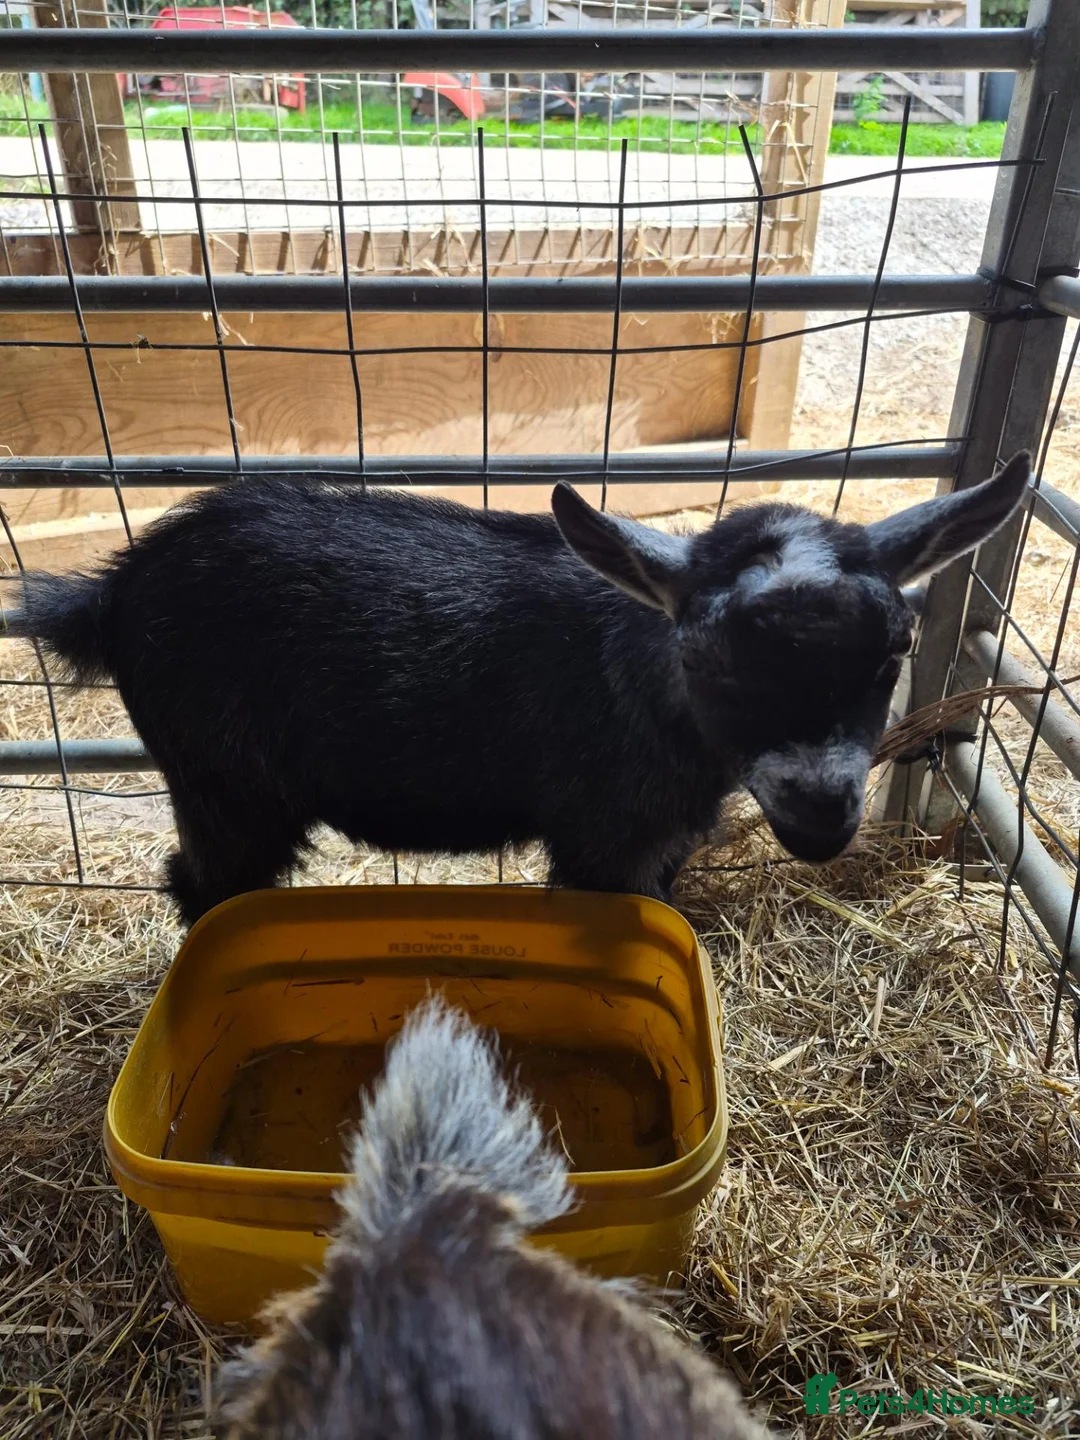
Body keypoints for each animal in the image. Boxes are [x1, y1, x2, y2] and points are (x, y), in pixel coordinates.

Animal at [2, 454, 1030, 923]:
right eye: (711, 660)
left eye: (896, 649)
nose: (820, 820)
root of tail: (114, 591)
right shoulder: (605, 837)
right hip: (222, 780)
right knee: (203, 881)